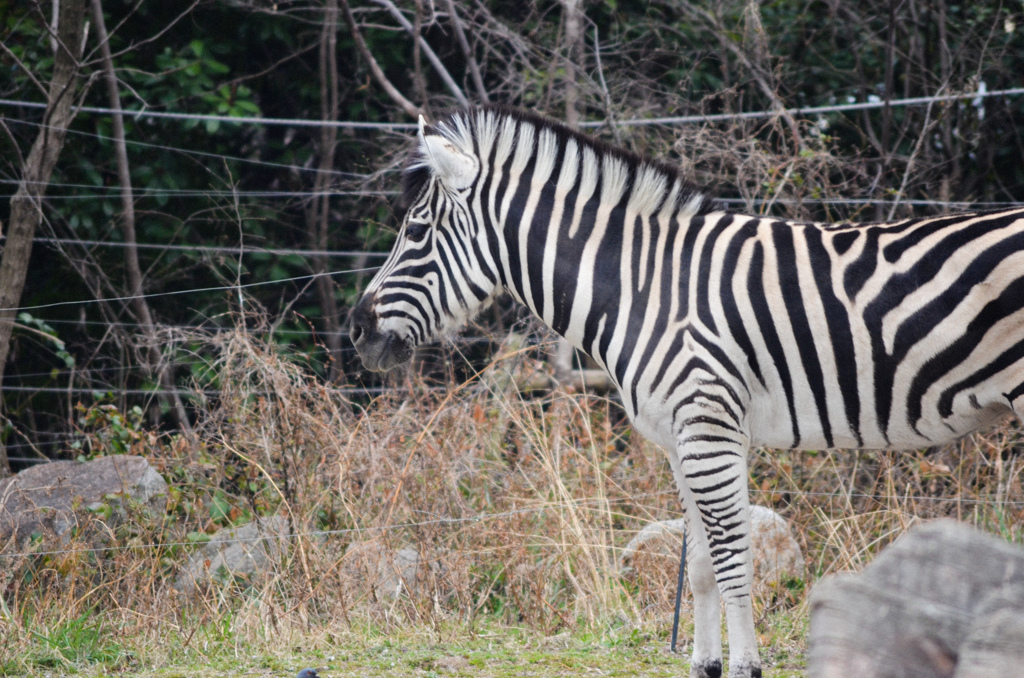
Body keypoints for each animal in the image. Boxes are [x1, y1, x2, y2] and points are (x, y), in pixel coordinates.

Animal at [350, 107, 1024, 678]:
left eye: (415, 232)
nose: (356, 330)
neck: (646, 286)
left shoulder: (708, 429)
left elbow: (732, 559)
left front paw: (747, 665)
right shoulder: (686, 440)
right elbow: (697, 566)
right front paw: (706, 664)